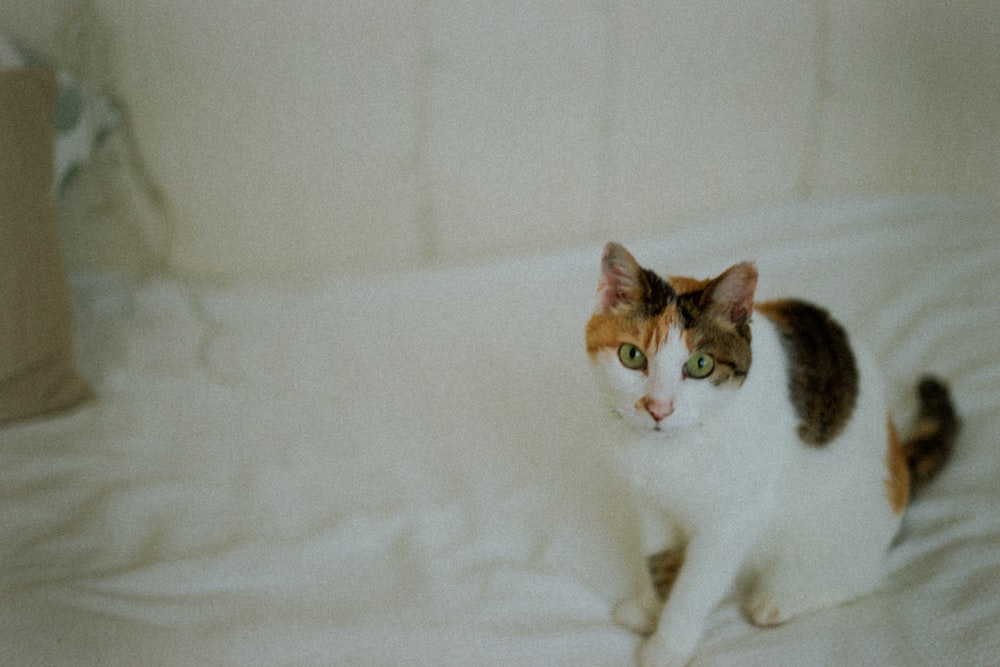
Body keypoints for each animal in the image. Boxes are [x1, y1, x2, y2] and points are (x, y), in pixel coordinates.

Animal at [584, 243, 960, 664]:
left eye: (700, 365)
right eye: (632, 356)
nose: (658, 408)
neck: (671, 449)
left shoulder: (734, 519)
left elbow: (694, 587)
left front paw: (668, 645)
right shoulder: (650, 503)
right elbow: (658, 559)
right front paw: (650, 606)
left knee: (859, 579)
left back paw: (780, 601)